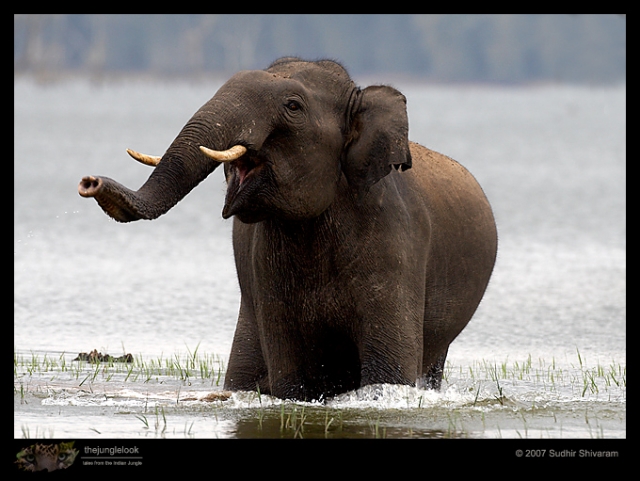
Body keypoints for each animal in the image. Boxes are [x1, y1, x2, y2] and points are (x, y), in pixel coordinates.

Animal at [79, 57, 500, 402]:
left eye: (293, 107)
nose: (89, 182)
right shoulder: (266, 264)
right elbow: (291, 369)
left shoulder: (397, 244)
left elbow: (388, 371)